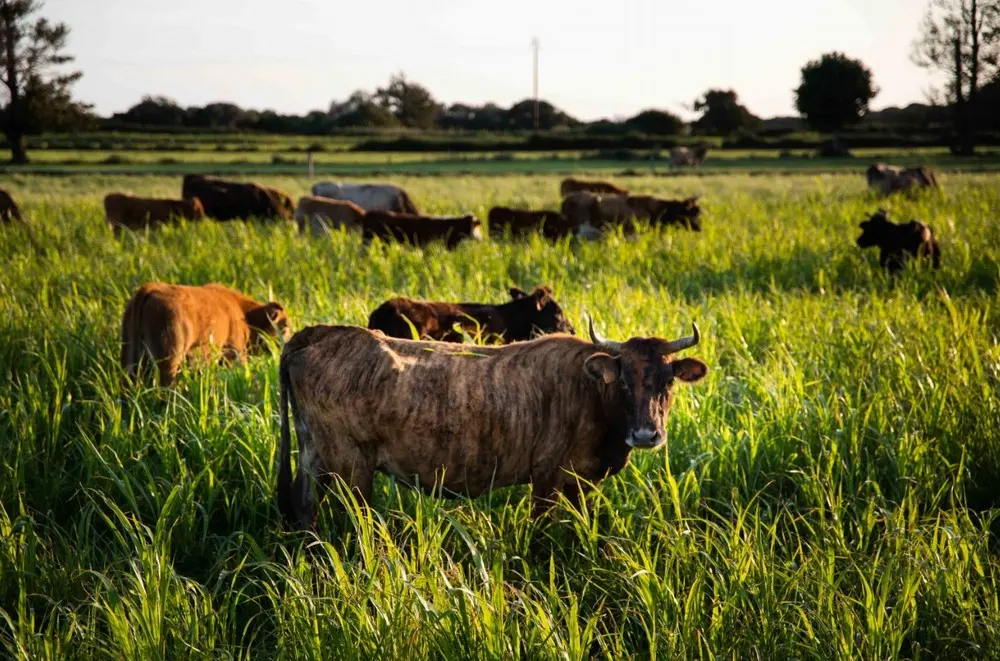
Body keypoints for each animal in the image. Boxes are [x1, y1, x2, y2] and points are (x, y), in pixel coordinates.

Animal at [120, 282, 290, 389]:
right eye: (285, 328)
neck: (244, 314)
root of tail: (148, 288)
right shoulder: (235, 353)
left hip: (131, 359)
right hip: (169, 360)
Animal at [276, 315, 708, 529]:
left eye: (668, 380)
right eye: (623, 380)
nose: (646, 434)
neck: (590, 393)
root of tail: (322, 334)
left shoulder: (583, 482)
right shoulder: (547, 477)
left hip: (313, 454)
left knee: (305, 511)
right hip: (352, 466)